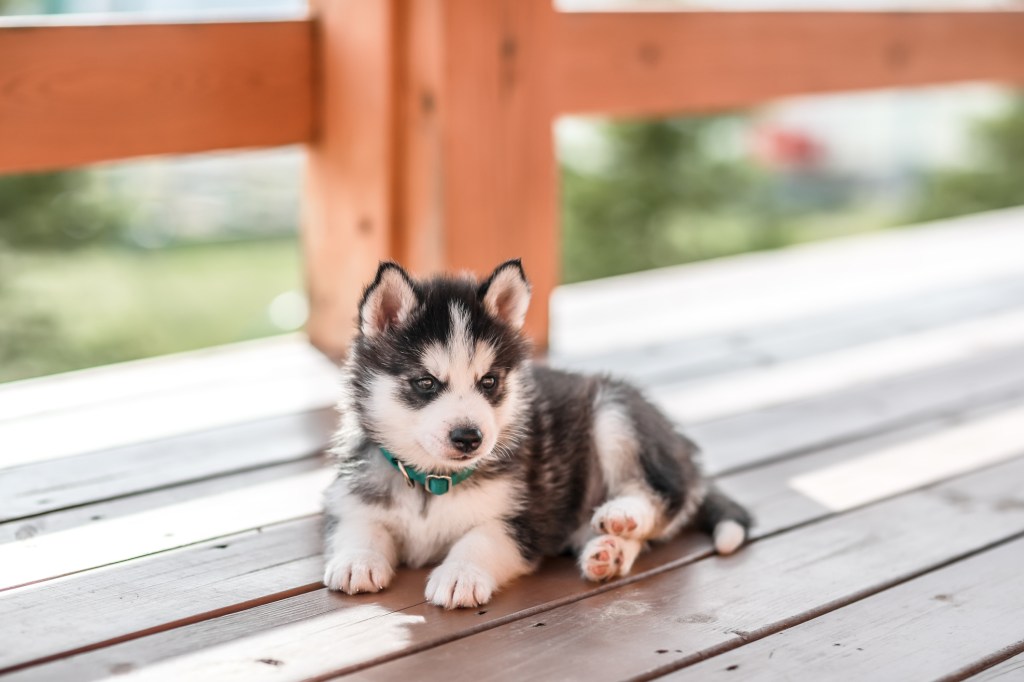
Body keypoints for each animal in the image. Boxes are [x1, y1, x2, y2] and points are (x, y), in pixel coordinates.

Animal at [321, 259, 753, 606]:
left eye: (489, 382)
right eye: (426, 382)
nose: (469, 437)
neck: (435, 481)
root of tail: (684, 452)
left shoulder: (524, 519)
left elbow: (480, 539)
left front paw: (461, 573)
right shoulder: (352, 495)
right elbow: (360, 524)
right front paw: (358, 559)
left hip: (615, 413)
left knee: (660, 499)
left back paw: (621, 516)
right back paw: (608, 551)